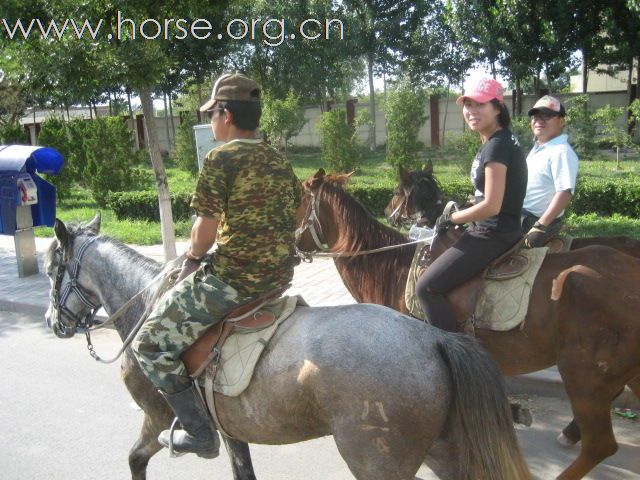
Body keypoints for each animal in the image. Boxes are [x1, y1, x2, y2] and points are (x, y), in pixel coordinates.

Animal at [41, 216, 528, 480]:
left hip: (381, 462)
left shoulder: (157, 417)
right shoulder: (232, 434)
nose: (51, 321)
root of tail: (434, 338)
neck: (144, 302)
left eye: (50, 269)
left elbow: (135, 458)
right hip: (442, 449)